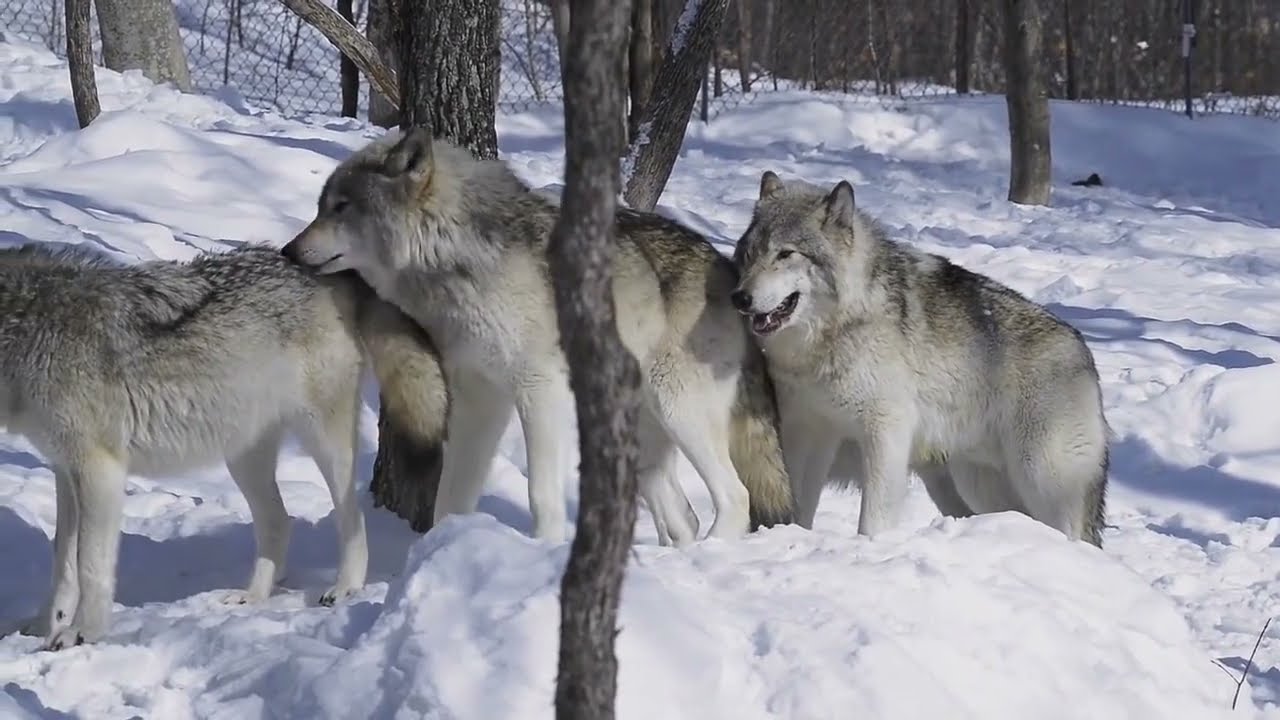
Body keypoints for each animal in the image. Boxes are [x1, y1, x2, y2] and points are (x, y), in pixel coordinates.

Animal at [0, 243, 448, 650]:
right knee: (279, 521)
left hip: (324, 442)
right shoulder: (65, 471)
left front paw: (81, 633)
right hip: (244, 457)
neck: (25, 328)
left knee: (350, 518)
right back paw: (253, 596)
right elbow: (62, 558)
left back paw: (346, 587)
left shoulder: (99, 471)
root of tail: (333, 272)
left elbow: (89, 563)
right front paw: (45, 623)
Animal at [280, 129, 795, 545]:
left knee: (736, 498)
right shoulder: (478, 398)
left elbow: (540, 495)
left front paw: (545, 549)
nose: (287, 250)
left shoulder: (540, 390)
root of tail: (729, 271)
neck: (457, 263)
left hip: (679, 411)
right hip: (646, 446)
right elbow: (452, 492)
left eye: (341, 208)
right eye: (321, 207)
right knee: (685, 517)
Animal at [730, 172, 1109, 547]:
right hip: (976, 483)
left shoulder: (885, 432)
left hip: (1041, 480)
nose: (739, 298)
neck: (828, 337)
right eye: (749, 254)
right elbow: (796, 505)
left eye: (785, 254)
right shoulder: (808, 432)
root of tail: (1084, 353)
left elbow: (873, 519)